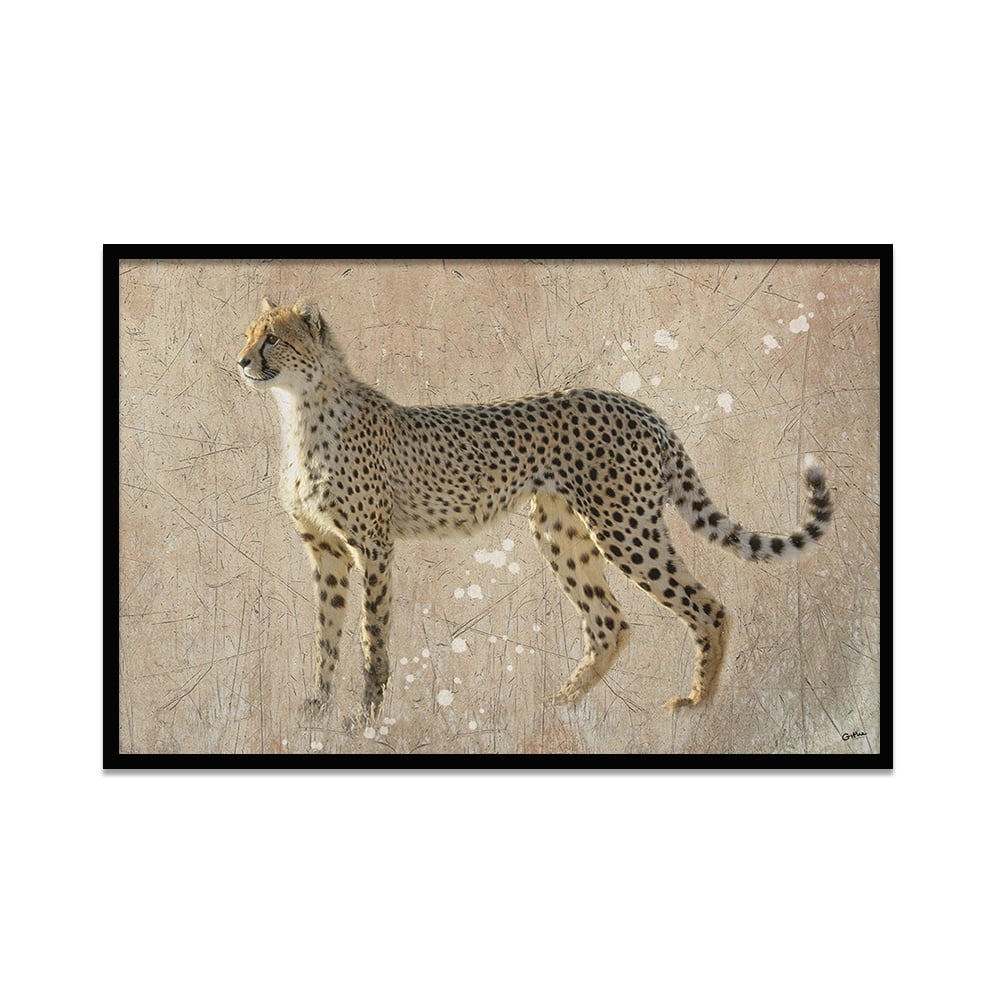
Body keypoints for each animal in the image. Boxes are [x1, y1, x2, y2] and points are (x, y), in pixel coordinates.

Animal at [238, 297, 831, 722]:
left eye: (273, 338)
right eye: (247, 334)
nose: (241, 361)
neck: (301, 408)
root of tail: (640, 405)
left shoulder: (373, 545)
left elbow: (371, 635)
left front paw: (364, 718)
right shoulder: (326, 549)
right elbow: (326, 633)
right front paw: (316, 711)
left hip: (624, 526)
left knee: (707, 608)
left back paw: (696, 707)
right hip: (558, 529)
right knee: (609, 623)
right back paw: (558, 706)